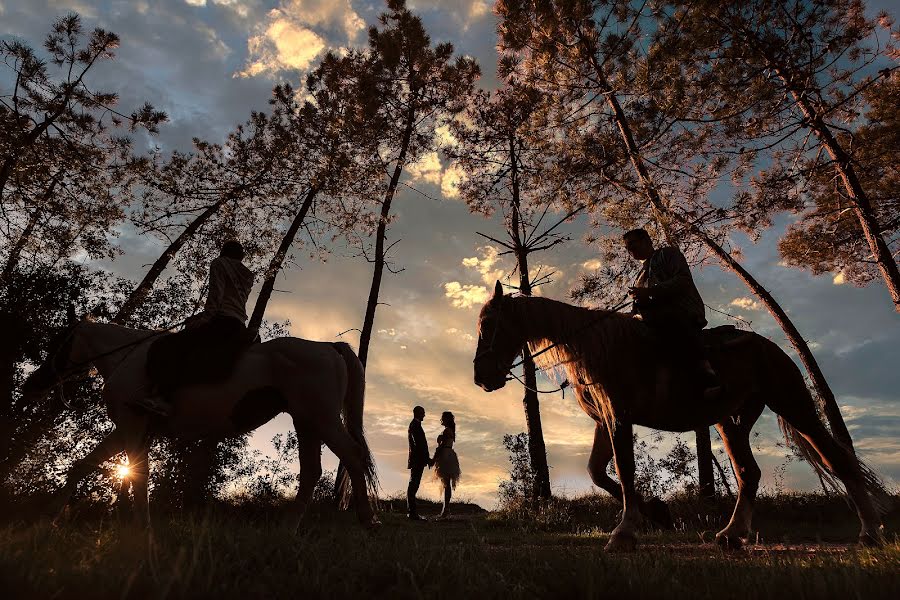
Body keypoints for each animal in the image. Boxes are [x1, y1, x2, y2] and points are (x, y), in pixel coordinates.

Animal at [21, 314, 380, 528]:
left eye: (60, 342)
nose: (31, 385)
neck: (128, 358)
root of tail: (329, 347)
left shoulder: (131, 424)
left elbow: (137, 475)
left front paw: (141, 530)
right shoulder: (130, 428)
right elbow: (83, 466)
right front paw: (48, 517)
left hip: (323, 419)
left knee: (352, 457)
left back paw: (367, 521)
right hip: (306, 421)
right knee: (311, 472)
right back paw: (287, 528)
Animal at [472, 278, 884, 552]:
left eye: (489, 325)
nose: (481, 377)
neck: (599, 348)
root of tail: (773, 349)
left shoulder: (620, 416)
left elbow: (623, 469)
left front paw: (625, 532)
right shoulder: (605, 421)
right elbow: (598, 472)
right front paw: (657, 513)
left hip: (794, 405)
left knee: (836, 460)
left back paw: (869, 534)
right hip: (730, 420)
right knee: (748, 473)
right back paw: (731, 535)